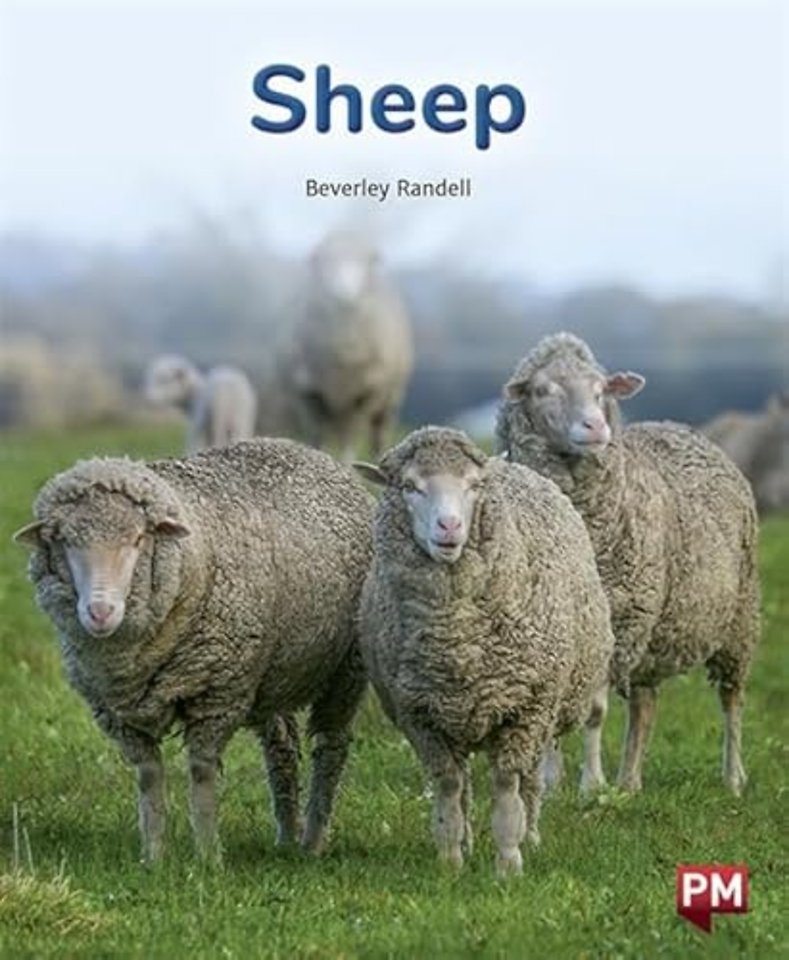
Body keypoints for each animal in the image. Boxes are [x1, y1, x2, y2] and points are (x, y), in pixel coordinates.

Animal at [13, 438, 374, 862]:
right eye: (64, 541)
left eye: (138, 538)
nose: (100, 611)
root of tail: (310, 451)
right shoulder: (121, 713)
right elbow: (149, 777)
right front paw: (153, 856)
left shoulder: (216, 694)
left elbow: (201, 773)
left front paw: (207, 856)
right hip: (271, 675)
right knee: (281, 747)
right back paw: (287, 835)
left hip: (345, 669)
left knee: (331, 746)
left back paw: (313, 840)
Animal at [286, 229, 413, 461]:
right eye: (324, 261)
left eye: (368, 261)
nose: (344, 293)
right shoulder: (308, 392)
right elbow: (316, 437)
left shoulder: (364, 393)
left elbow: (350, 441)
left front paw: (347, 467)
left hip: (390, 398)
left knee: (376, 436)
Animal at [354, 427, 614, 875]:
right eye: (410, 487)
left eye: (474, 487)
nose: (450, 525)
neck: (455, 640)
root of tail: (509, 463)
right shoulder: (422, 716)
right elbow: (448, 786)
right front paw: (450, 858)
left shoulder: (523, 711)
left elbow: (507, 786)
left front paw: (509, 861)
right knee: (465, 785)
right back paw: (470, 840)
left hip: (545, 708)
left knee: (530, 779)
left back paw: (531, 834)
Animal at [496, 332, 760, 795]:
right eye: (543, 390)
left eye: (601, 389)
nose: (595, 427)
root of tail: (682, 427)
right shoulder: (565, 631)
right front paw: (550, 781)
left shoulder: (616, 626)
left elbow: (594, 712)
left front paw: (590, 784)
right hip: (653, 633)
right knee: (645, 705)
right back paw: (630, 782)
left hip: (737, 620)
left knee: (732, 700)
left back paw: (732, 777)